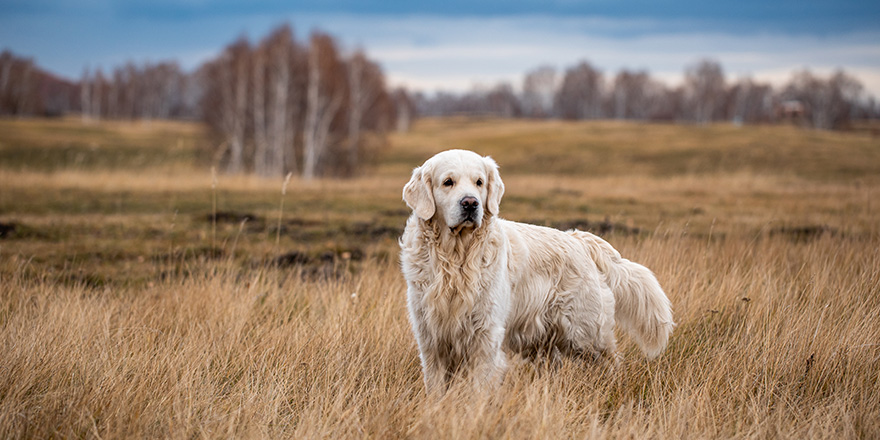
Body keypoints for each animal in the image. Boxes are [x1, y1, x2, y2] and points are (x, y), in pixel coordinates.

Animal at [398, 149, 672, 392]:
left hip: (585, 333)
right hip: (543, 340)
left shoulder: (486, 336)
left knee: (611, 360)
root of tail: (579, 239)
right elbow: (436, 389)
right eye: (448, 182)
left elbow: (478, 388)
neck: (456, 260)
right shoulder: (431, 340)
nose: (470, 203)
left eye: (479, 182)